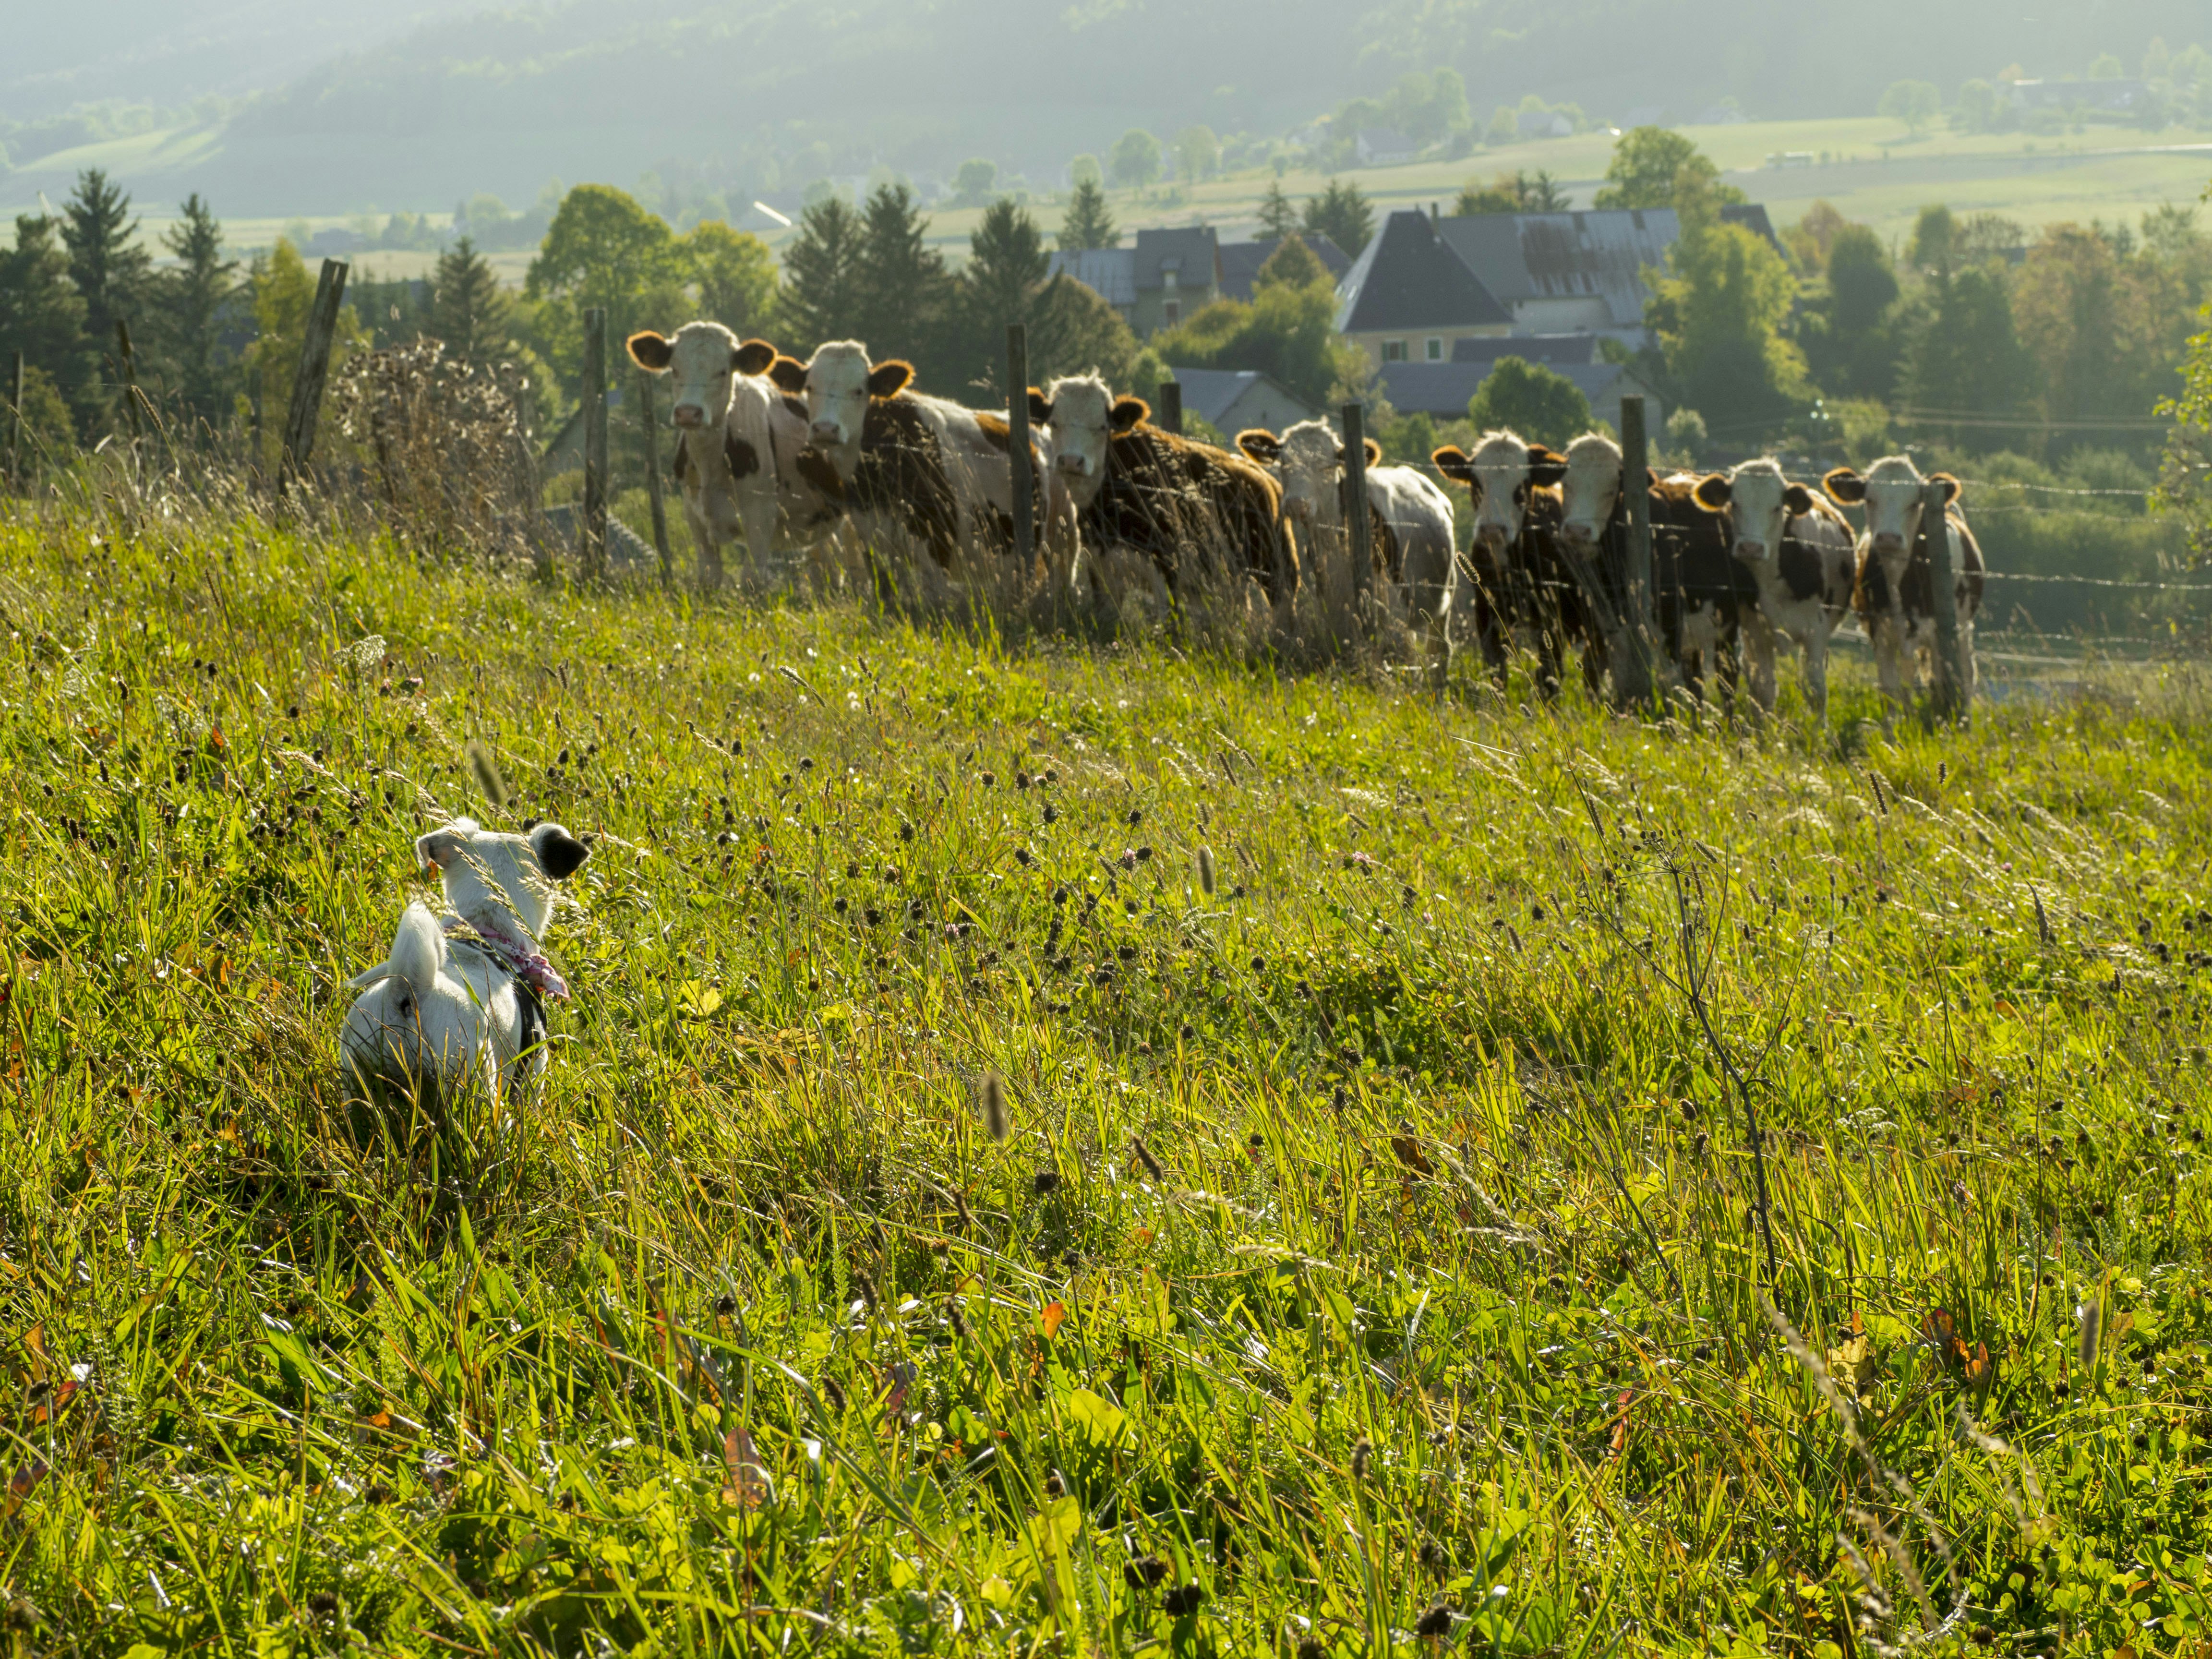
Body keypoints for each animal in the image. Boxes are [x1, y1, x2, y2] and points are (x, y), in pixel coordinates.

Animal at [1238, 429, 1460, 690]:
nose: (1296, 504)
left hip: (1443, 595)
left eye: (1326, 466)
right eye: (1284, 463)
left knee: (1439, 650)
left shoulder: (1394, 611)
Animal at [1690, 462, 1867, 721]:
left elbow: (1816, 692)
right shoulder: (1756, 631)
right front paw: (1763, 731)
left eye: (1777, 507)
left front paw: (1820, 732)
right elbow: (1764, 690)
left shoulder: (1817, 631)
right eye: (1734, 504)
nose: (1750, 547)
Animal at [1822, 457, 1999, 712]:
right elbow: (1892, 691)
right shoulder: (1881, 634)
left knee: (1965, 675)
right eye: (1870, 499)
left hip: (1963, 629)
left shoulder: (1940, 634)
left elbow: (1943, 684)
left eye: (1915, 503)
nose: (1888, 538)